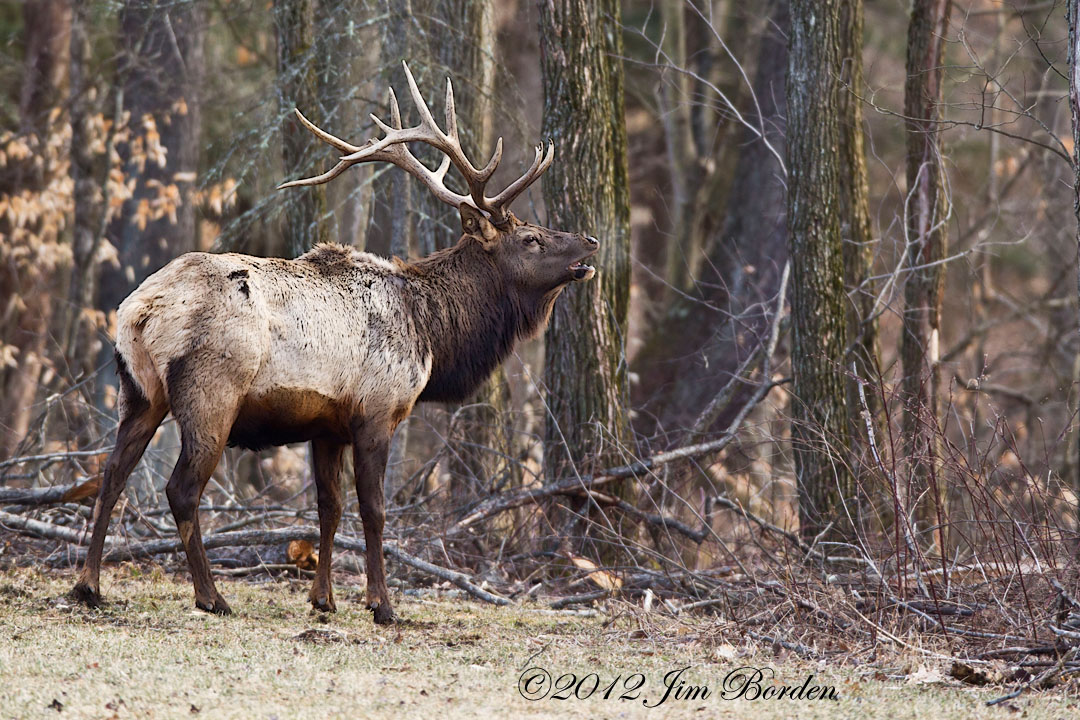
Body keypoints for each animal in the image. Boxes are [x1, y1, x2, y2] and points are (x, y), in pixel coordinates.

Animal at [70, 62, 598, 624]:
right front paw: (381, 603)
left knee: (111, 475)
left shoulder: (327, 426)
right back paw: (211, 596)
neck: (433, 335)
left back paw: (88, 585)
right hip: (210, 392)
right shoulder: (377, 411)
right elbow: (374, 510)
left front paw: (323, 598)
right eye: (530, 239)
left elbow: (329, 507)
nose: (589, 241)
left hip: (139, 390)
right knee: (181, 489)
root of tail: (139, 310)